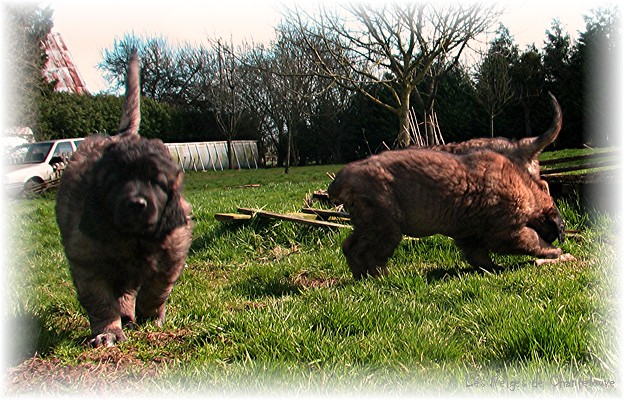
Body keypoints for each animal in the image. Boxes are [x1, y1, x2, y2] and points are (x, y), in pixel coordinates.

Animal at [56, 51, 193, 346]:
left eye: (156, 182)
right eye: (116, 182)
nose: (137, 205)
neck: (134, 238)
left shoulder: (174, 249)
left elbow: (156, 289)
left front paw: (150, 317)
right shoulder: (86, 259)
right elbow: (100, 301)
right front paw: (108, 332)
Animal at [332, 145, 572, 280]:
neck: (528, 191)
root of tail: (341, 178)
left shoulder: (468, 234)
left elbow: (478, 254)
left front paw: (491, 268)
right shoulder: (506, 231)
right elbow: (533, 239)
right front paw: (553, 251)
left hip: (367, 222)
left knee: (349, 245)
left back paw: (362, 277)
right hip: (386, 224)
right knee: (368, 252)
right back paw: (379, 278)